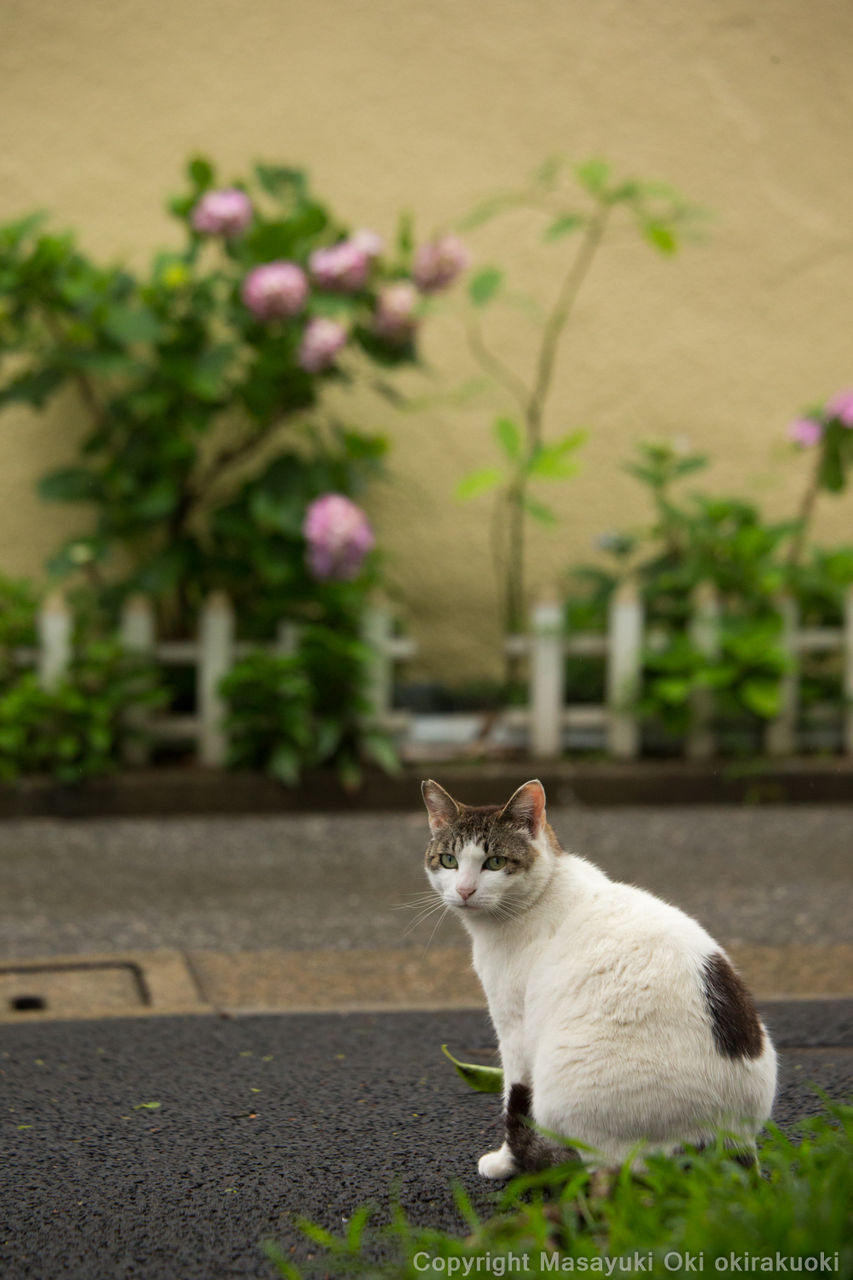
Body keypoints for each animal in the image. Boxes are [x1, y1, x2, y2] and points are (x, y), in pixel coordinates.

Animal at [420, 773, 778, 1172]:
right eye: (449, 860)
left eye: (494, 863)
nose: (464, 890)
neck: (539, 895)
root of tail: (726, 1144)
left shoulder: (514, 1028)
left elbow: (513, 1100)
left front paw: (504, 1162)